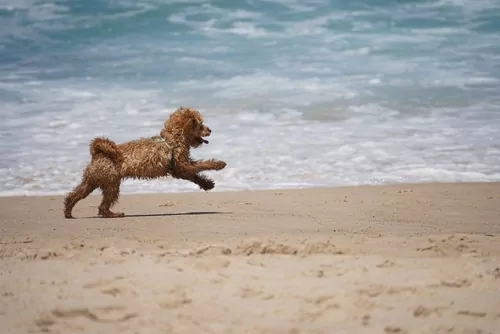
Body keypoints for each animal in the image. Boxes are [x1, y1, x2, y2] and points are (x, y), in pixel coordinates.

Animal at [64, 105, 227, 218]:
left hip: (92, 181)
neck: (173, 138)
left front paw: (207, 184)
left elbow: (195, 176)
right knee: (103, 205)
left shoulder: (178, 169)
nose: (210, 130)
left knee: (75, 194)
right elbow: (202, 165)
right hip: (111, 183)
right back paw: (113, 214)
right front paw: (219, 164)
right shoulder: (182, 164)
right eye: (200, 124)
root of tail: (98, 154)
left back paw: (68, 211)